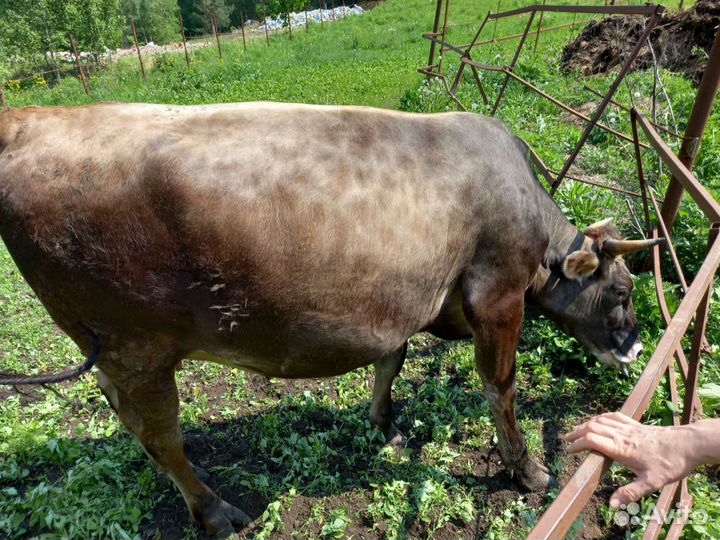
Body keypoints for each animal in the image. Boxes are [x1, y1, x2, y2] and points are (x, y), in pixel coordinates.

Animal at [0, 102, 660, 535]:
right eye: (622, 290)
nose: (633, 350)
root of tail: (28, 117)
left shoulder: (401, 298)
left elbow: (390, 362)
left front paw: (383, 425)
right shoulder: (497, 299)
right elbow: (501, 389)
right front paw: (528, 471)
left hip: (117, 354)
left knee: (131, 419)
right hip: (135, 348)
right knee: (161, 433)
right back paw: (213, 510)